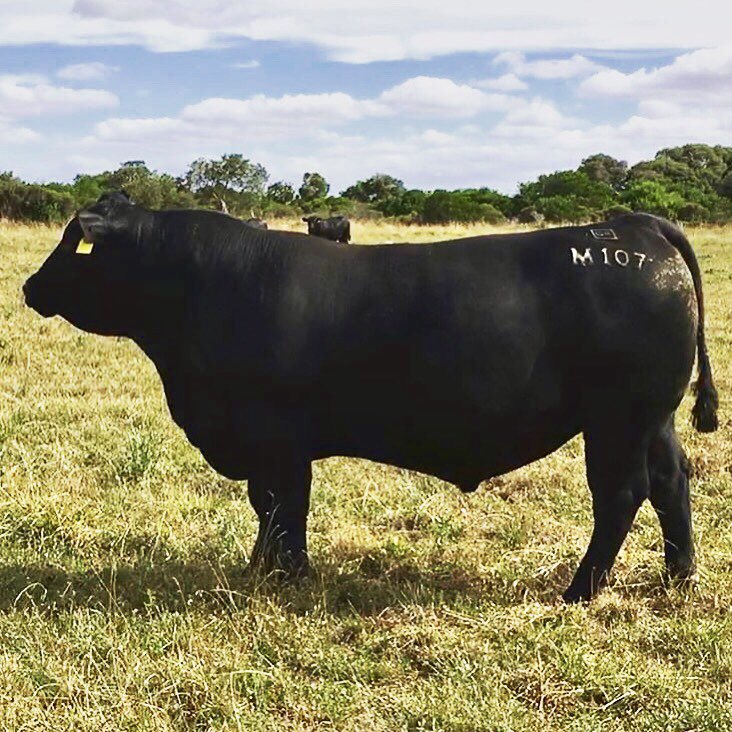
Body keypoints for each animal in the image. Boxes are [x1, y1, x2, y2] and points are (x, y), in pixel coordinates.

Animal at [23, 194, 718, 602]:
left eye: (77, 242)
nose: (30, 286)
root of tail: (630, 227)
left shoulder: (273, 435)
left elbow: (281, 506)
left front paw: (285, 577)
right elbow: (271, 510)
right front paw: (260, 571)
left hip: (618, 418)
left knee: (622, 493)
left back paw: (580, 591)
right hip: (652, 418)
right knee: (671, 480)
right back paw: (678, 576)